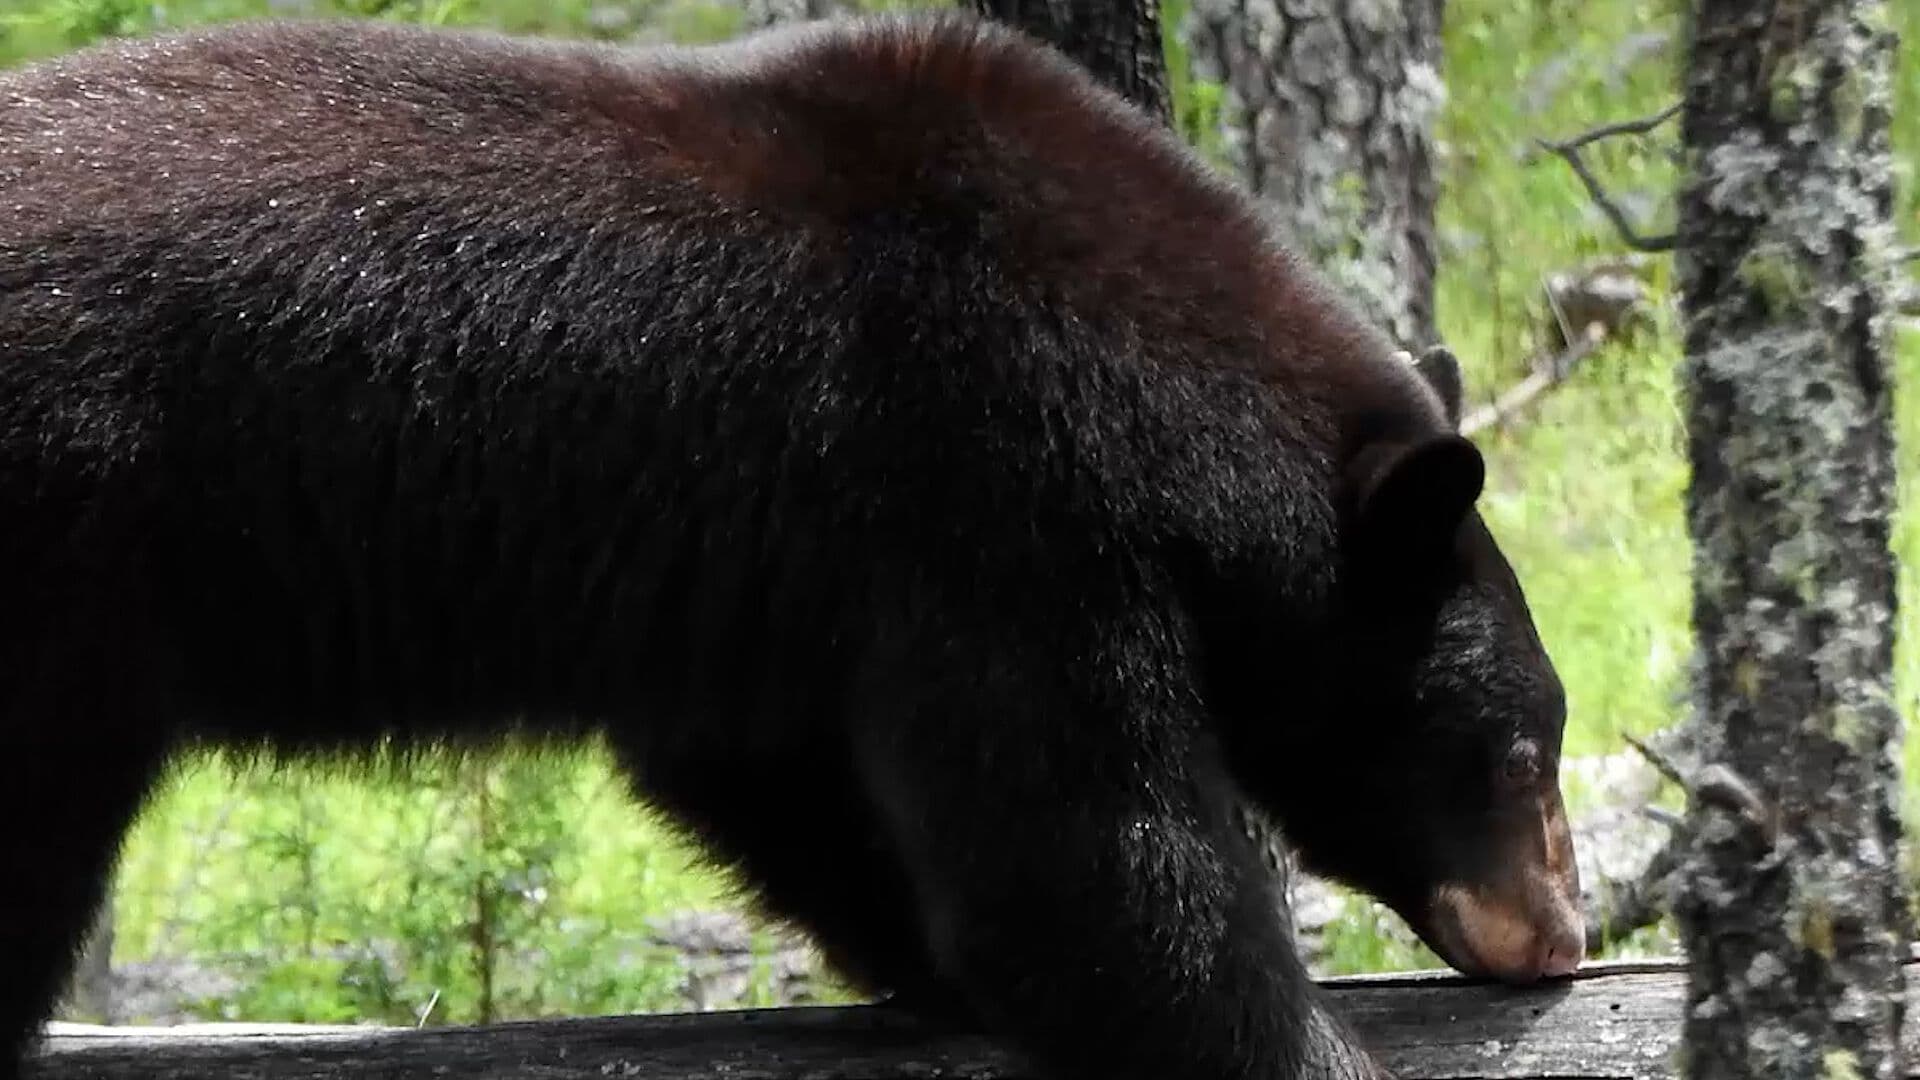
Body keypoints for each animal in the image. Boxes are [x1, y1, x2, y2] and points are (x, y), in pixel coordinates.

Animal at [0, 12, 1584, 1080]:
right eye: (1518, 753)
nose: (1559, 933)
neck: (1171, 385)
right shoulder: (1001, 486)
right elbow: (1087, 852)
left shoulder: (778, 576)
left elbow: (774, 777)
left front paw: (925, 962)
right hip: (67, 547)